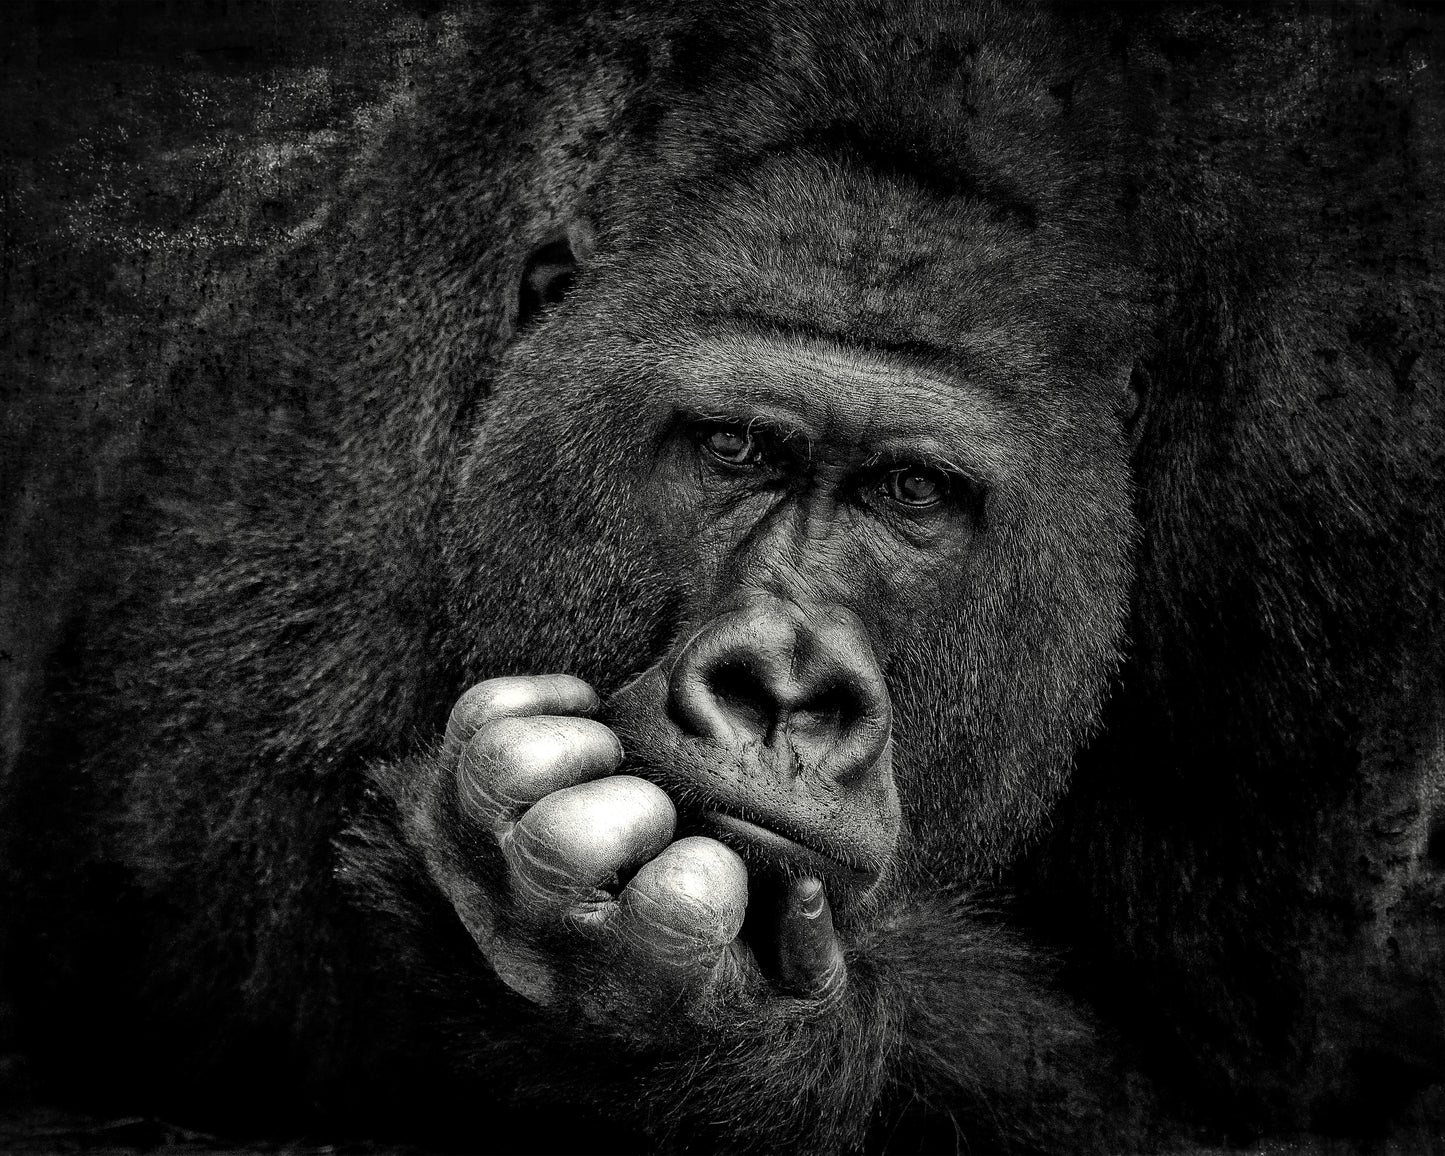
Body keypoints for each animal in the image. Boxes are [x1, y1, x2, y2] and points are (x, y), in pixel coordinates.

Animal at [2, 2, 1441, 1153]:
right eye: (735, 448)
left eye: (910, 492)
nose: (782, 688)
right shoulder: (380, 313)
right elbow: (183, 939)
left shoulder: (1328, 453)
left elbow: (1249, 1075)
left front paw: (662, 1020)